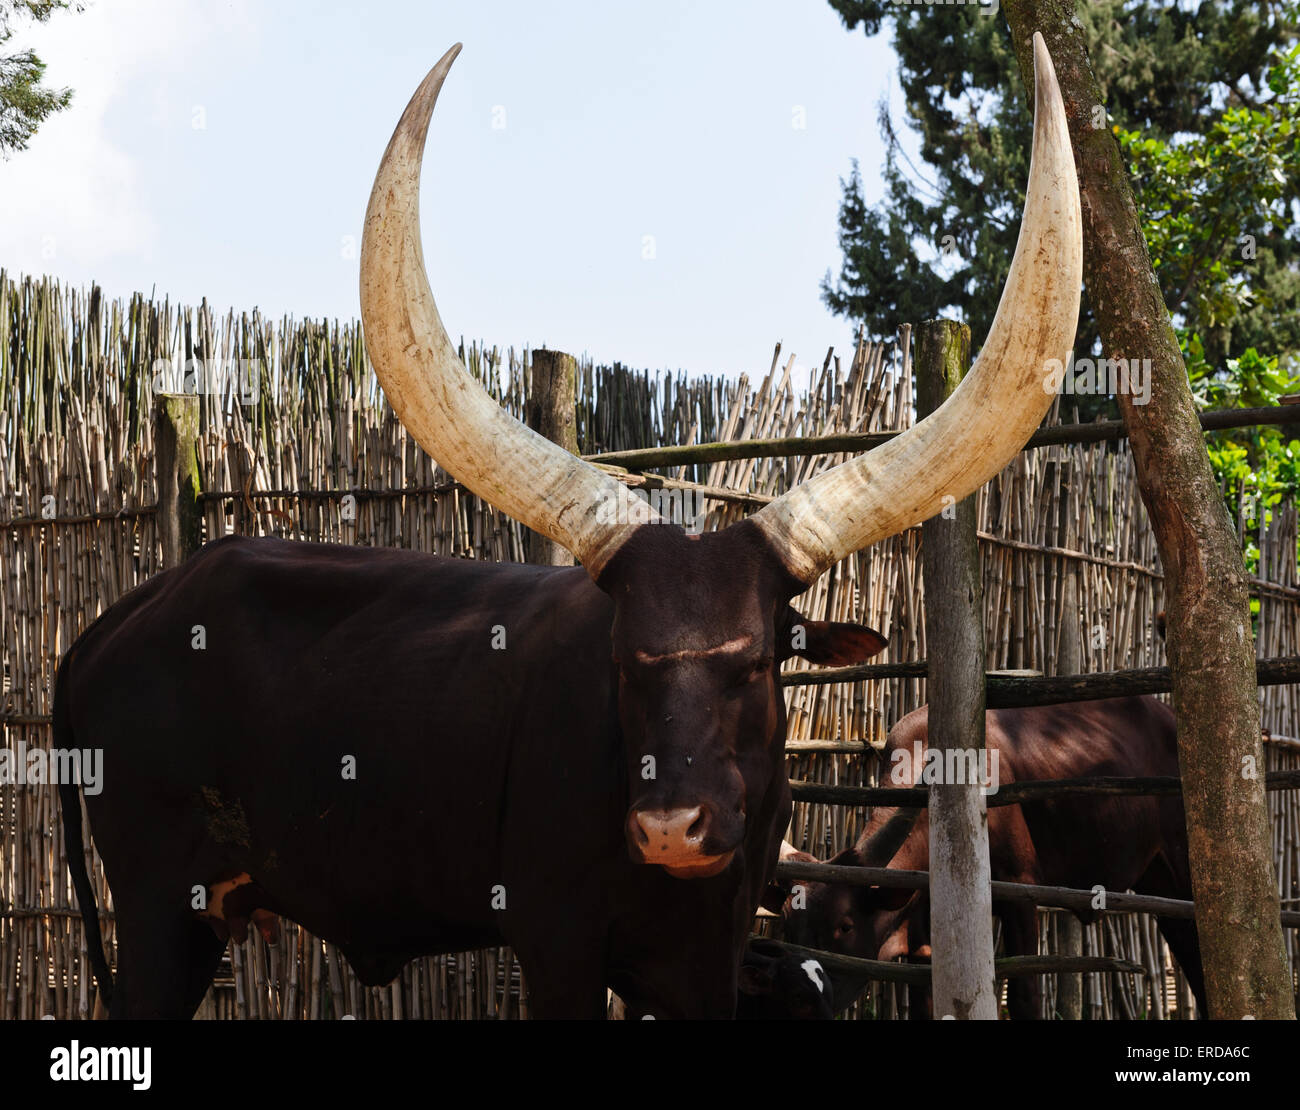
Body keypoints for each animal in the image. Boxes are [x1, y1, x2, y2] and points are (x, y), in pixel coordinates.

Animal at [55, 36, 1081, 1019]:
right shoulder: (556, 943)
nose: (671, 828)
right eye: (623, 660)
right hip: (158, 909)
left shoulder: (708, 959)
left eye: (757, 662)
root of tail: (119, 620)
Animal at [769, 701, 1206, 1019]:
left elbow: (1025, 997)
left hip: (1183, 872)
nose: (797, 1000)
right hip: (1157, 879)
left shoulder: (1019, 893)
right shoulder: (923, 936)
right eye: (789, 925)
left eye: (844, 926)